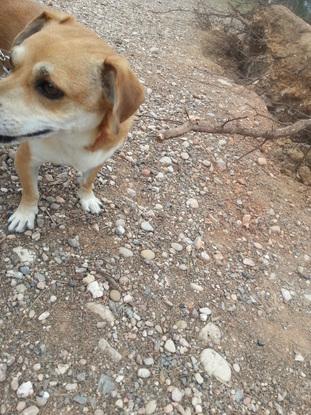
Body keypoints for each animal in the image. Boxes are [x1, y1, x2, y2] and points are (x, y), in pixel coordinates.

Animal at [0, 0, 145, 232]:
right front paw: (25, 213)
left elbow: (87, 181)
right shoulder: (25, 158)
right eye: (12, 64)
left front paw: (87, 198)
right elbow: (32, 192)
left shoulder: (99, 158)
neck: (72, 136)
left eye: (49, 87)